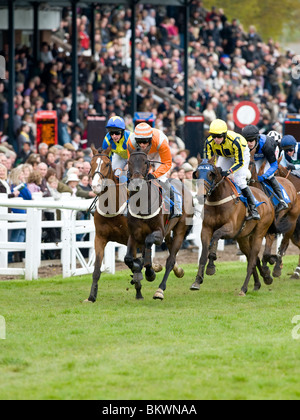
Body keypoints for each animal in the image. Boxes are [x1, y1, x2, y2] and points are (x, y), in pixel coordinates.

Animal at [124, 146, 195, 300]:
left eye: (146, 162)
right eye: (129, 162)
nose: (136, 184)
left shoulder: (158, 233)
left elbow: (148, 244)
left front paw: (150, 272)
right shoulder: (133, 234)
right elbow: (128, 259)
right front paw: (139, 269)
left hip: (179, 230)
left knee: (170, 259)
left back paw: (160, 289)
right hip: (168, 231)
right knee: (169, 247)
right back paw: (177, 270)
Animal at [191, 156, 276, 296]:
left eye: (210, 174)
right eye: (196, 174)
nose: (200, 196)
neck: (218, 200)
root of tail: (267, 200)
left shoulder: (231, 229)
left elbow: (216, 236)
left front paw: (211, 265)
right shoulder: (206, 229)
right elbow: (203, 254)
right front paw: (197, 281)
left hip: (259, 233)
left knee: (252, 261)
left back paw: (244, 288)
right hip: (243, 238)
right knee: (253, 258)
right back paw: (262, 280)